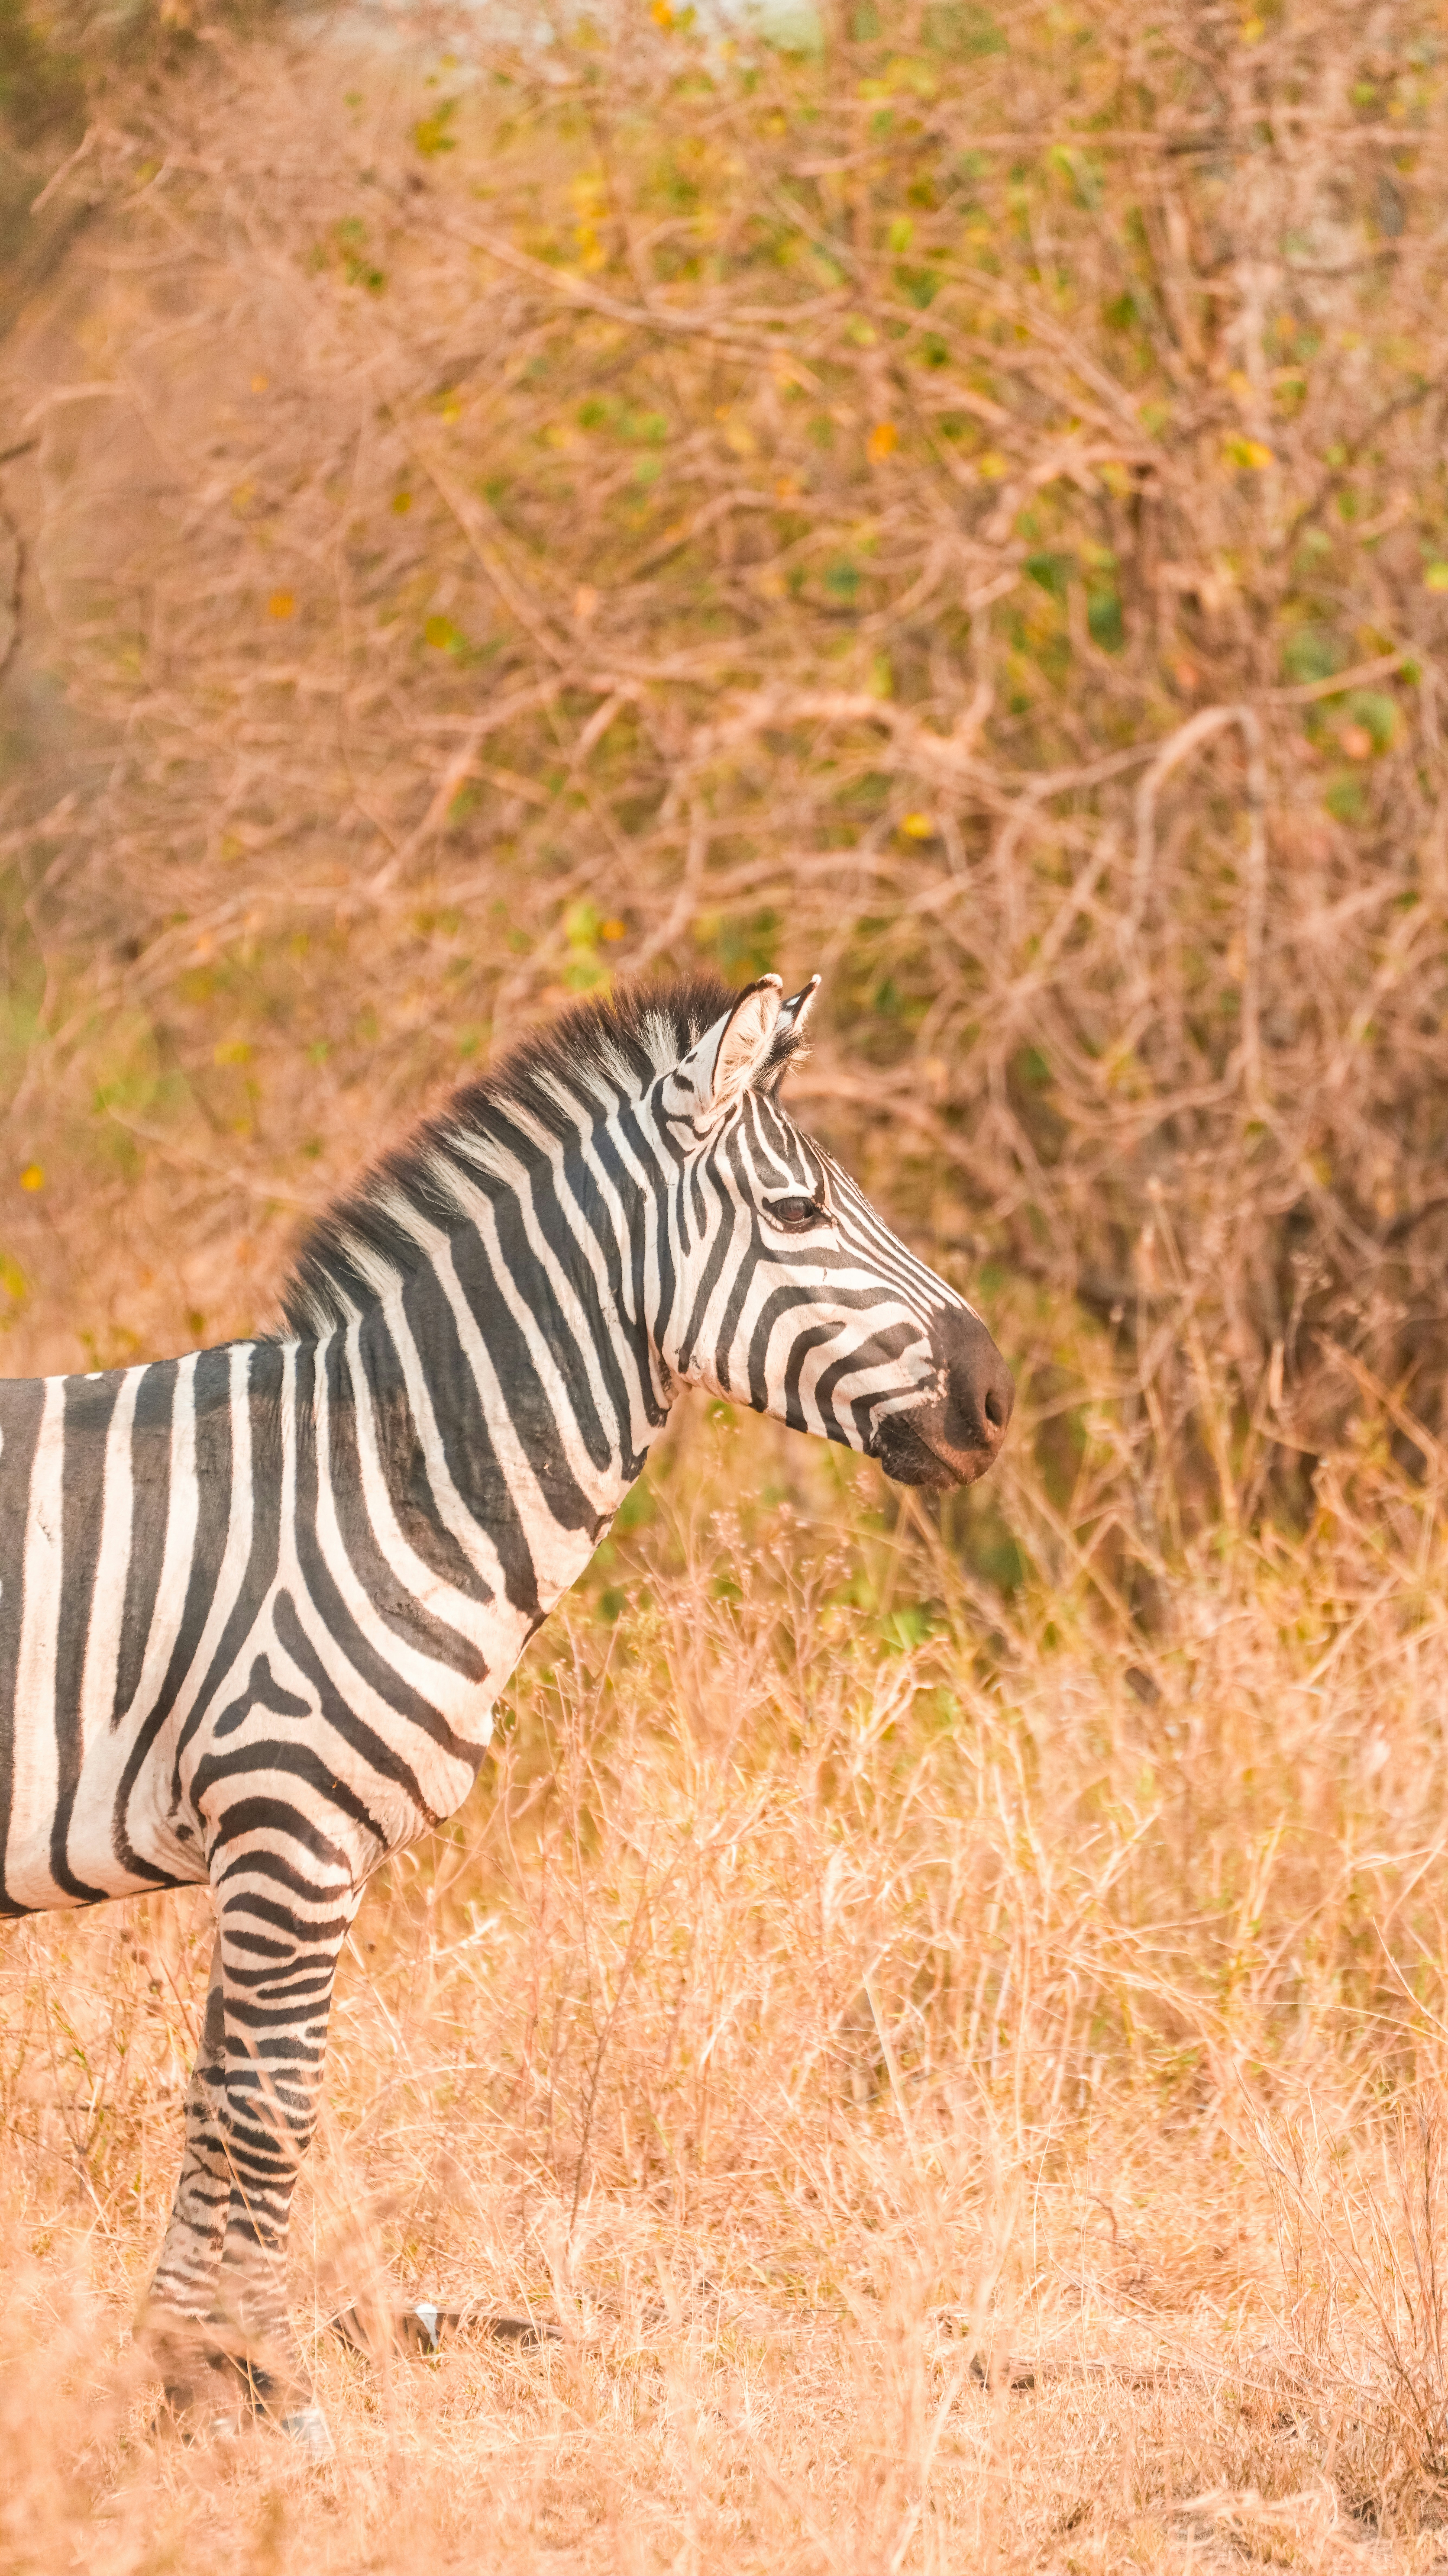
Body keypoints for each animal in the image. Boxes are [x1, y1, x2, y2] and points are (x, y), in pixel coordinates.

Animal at [0, 968, 1013, 2457]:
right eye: (794, 1215)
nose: (997, 1400)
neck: (383, 1477)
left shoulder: (276, 1841)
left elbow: (221, 2096)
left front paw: (197, 2370)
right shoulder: (290, 1822)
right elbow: (267, 2109)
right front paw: (252, 2383)